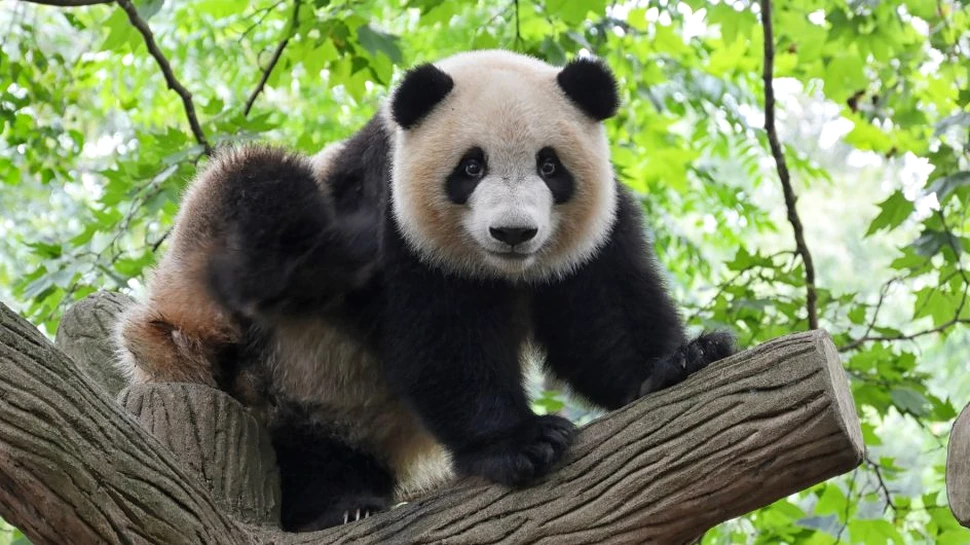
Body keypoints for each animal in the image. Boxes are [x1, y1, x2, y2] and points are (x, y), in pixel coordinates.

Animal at [114, 49, 735, 532]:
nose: (513, 232)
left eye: (550, 166)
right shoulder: (395, 224)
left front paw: (682, 359)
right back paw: (335, 509)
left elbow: (601, 319)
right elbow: (441, 342)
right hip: (228, 321)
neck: (501, 272)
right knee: (255, 186)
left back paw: (345, 497)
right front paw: (522, 442)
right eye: (471, 167)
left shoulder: (594, 232)